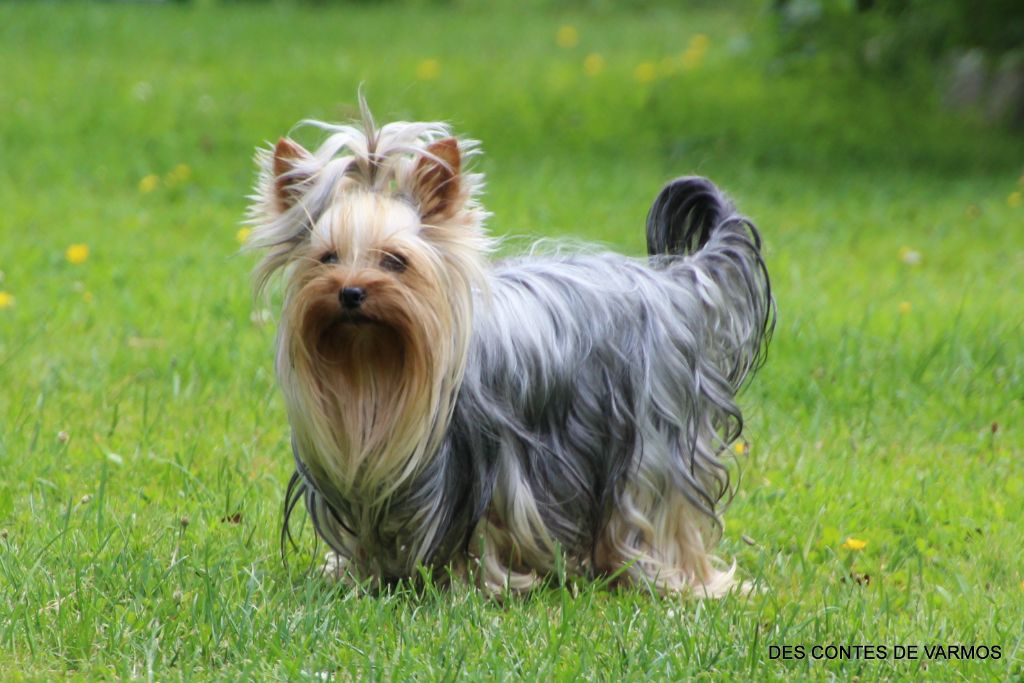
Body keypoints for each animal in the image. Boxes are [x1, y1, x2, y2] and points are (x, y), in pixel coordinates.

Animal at [247, 98, 770, 593]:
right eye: (327, 258)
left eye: (395, 261)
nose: (350, 292)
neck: (374, 369)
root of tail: (672, 281)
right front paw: (359, 574)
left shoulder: (496, 476)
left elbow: (490, 534)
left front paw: (484, 583)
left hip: (651, 441)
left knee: (658, 511)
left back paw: (677, 580)